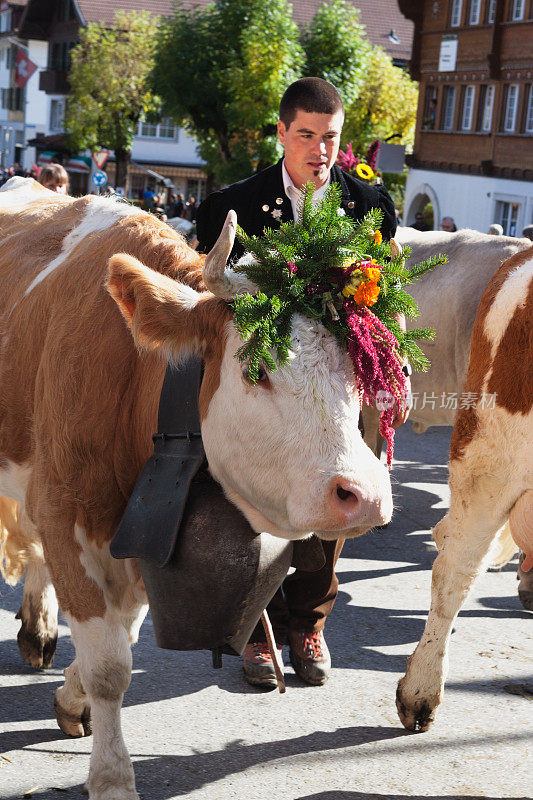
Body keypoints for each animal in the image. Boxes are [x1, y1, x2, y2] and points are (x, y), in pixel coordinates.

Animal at [0, 180, 390, 800]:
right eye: (256, 370)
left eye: (358, 373)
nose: (366, 494)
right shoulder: (64, 511)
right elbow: (110, 666)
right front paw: (112, 778)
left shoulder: (134, 533)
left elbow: (121, 638)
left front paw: (72, 696)